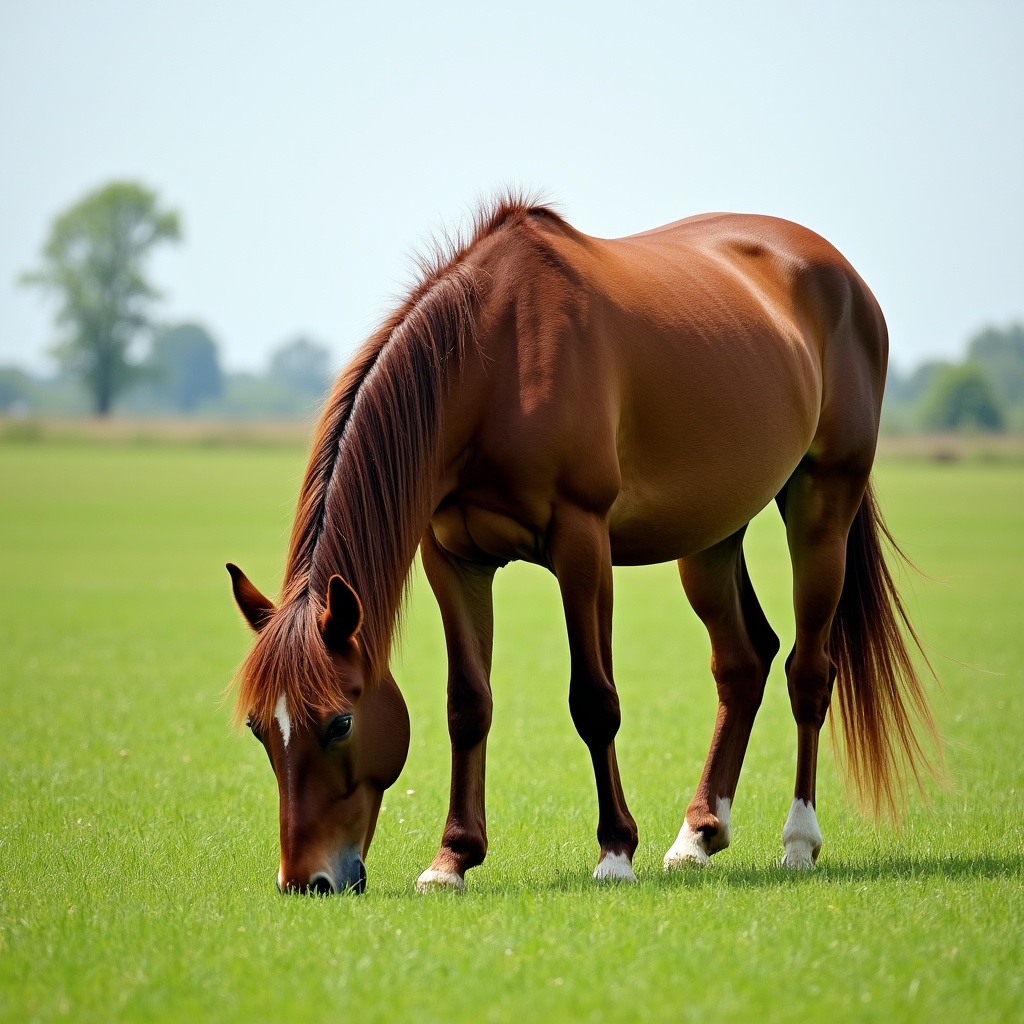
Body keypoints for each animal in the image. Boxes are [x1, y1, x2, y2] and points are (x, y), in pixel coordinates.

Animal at [228, 196, 938, 894]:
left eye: (340, 722)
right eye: (259, 728)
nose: (306, 880)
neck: (496, 362)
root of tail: (841, 275)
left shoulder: (582, 542)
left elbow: (594, 700)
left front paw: (614, 852)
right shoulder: (451, 557)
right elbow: (468, 703)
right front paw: (452, 858)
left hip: (823, 506)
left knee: (808, 672)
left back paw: (798, 841)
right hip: (710, 535)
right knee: (743, 662)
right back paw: (698, 836)